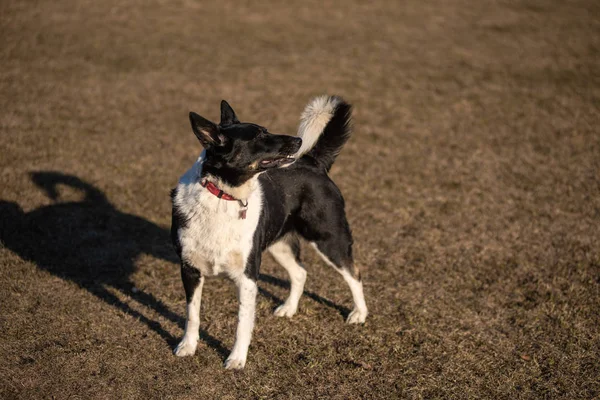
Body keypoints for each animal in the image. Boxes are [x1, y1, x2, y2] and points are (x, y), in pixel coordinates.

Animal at [169, 94, 366, 368]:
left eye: (266, 129)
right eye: (260, 135)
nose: (298, 141)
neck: (223, 196)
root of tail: (312, 161)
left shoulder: (247, 275)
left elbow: (242, 322)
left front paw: (236, 359)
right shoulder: (189, 269)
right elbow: (192, 313)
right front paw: (188, 346)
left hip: (328, 238)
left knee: (354, 273)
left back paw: (360, 314)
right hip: (279, 244)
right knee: (300, 273)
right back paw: (289, 308)